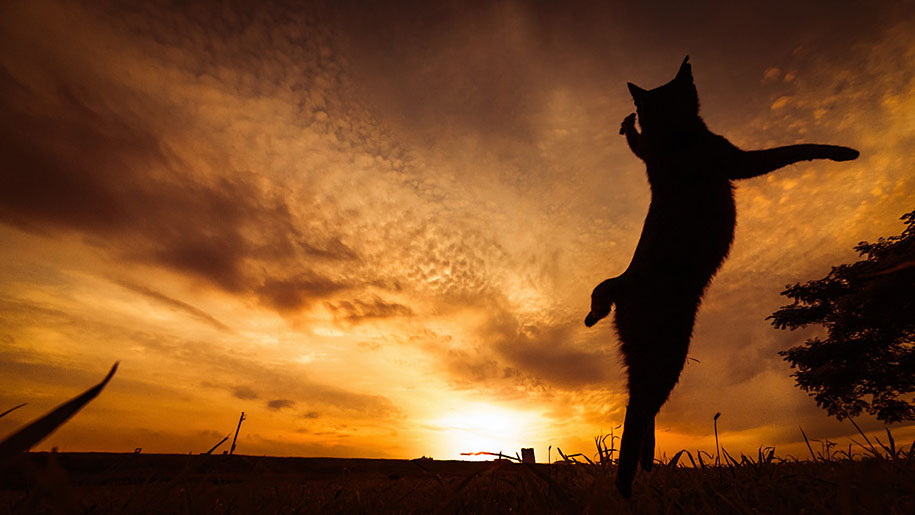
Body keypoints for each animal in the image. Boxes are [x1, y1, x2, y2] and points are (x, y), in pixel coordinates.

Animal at [588, 57, 860, 500]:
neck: (674, 132)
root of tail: (623, 281)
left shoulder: (651, 153)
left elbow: (636, 145)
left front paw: (627, 126)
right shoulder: (737, 161)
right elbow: (794, 150)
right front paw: (842, 152)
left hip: (642, 350)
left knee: (639, 404)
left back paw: (646, 464)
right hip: (667, 350)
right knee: (638, 409)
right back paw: (627, 486)